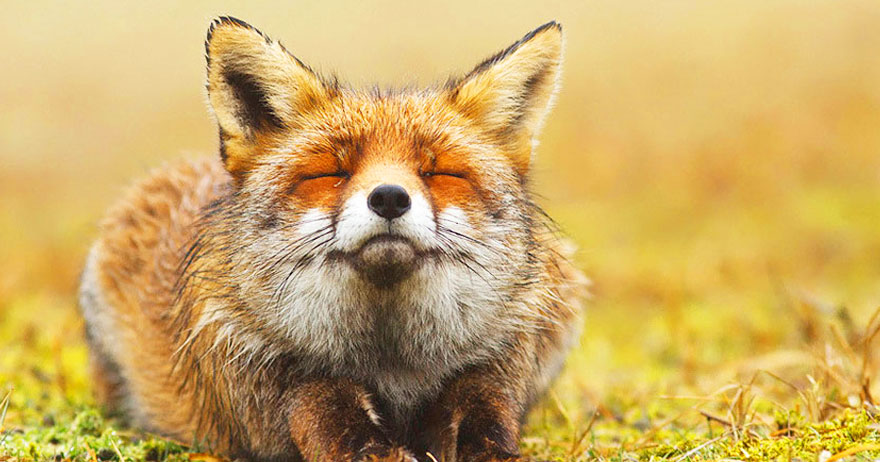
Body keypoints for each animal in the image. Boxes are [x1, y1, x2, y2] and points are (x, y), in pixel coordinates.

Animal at [78, 16, 585, 462]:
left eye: (439, 172)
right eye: (331, 172)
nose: (389, 197)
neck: (392, 360)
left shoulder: (497, 363)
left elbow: (484, 424)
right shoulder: (272, 372)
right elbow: (329, 415)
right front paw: (376, 450)